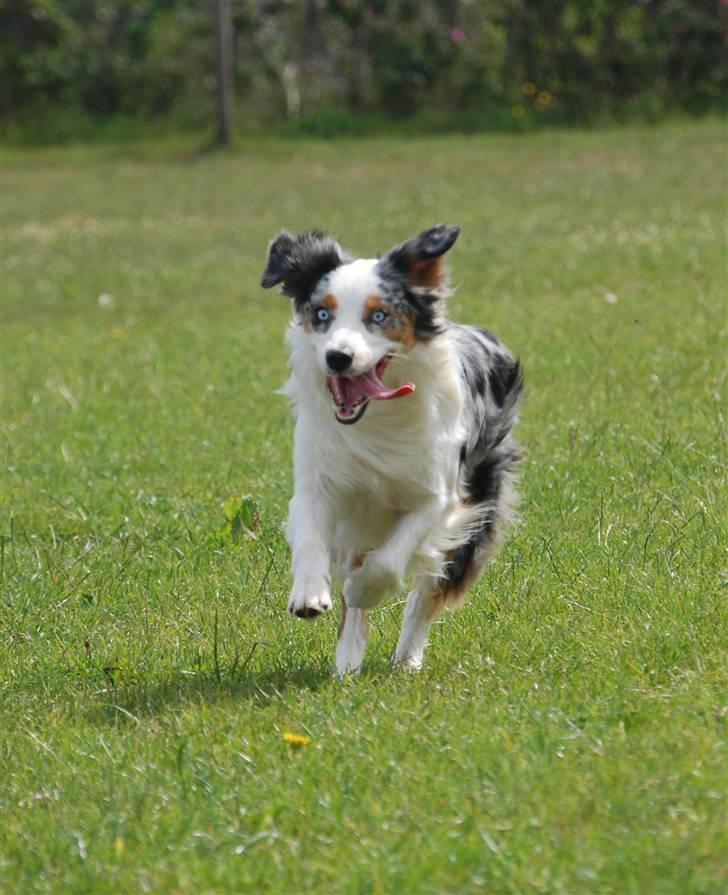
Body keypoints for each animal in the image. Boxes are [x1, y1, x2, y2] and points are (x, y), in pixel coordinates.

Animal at [262, 224, 524, 672]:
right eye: (322, 314)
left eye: (379, 316)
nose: (337, 357)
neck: (377, 420)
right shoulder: (321, 481)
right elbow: (312, 535)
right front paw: (309, 594)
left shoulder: (439, 496)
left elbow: (387, 562)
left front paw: (364, 588)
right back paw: (347, 663)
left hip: (478, 508)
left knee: (427, 593)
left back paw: (407, 659)